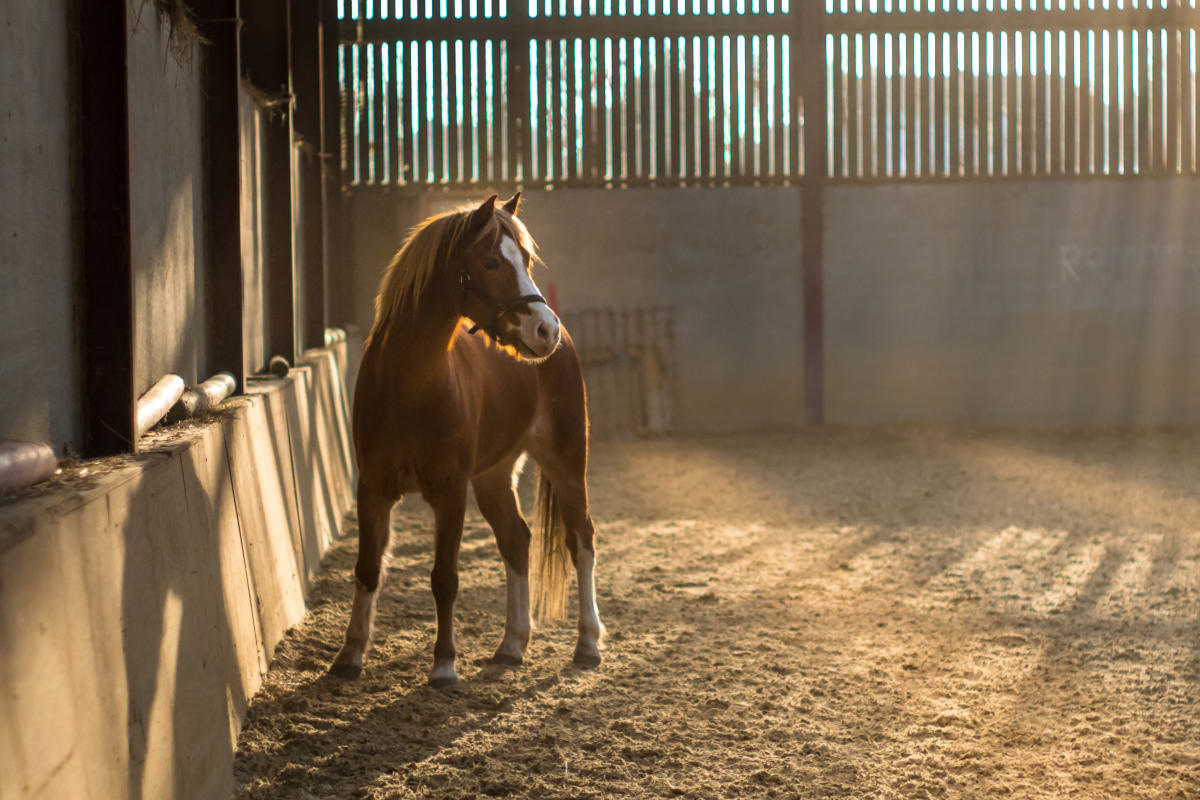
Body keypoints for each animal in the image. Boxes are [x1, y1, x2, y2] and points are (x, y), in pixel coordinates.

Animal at [331, 194, 604, 690]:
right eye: (491, 261)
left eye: (527, 260)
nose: (545, 330)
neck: (409, 383)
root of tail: (567, 344)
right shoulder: (372, 488)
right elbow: (367, 568)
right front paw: (350, 655)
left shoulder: (450, 491)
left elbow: (444, 577)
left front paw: (443, 665)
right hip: (494, 478)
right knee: (517, 540)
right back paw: (512, 644)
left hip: (567, 462)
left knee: (581, 539)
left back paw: (588, 643)